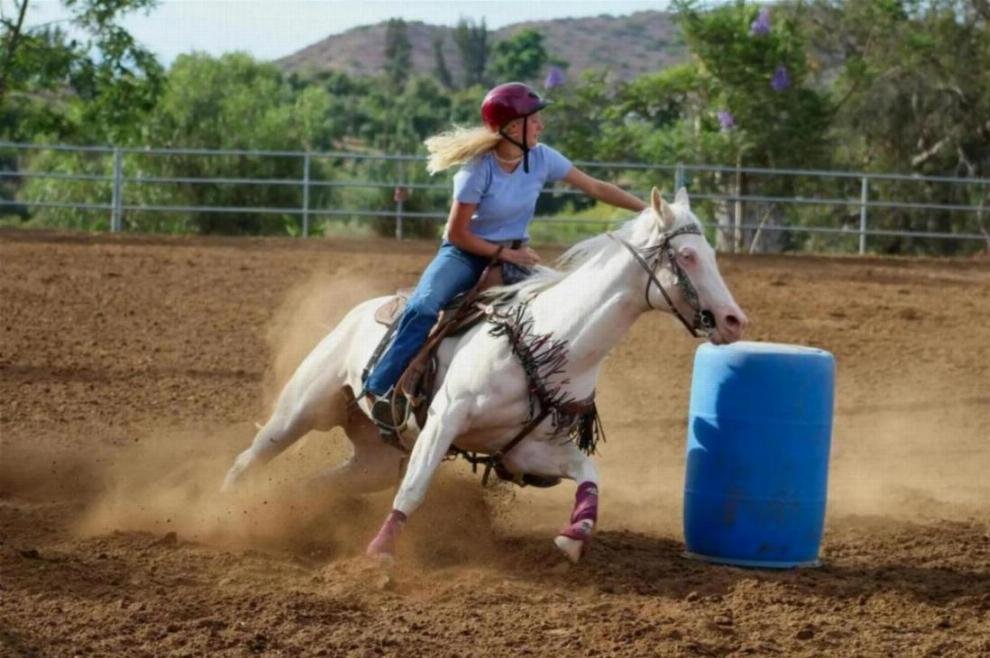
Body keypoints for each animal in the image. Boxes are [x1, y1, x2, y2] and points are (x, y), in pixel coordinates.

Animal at [221, 187, 748, 563]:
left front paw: (574, 535)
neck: (555, 338)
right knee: (251, 456)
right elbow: (415, 487)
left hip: (375, 456)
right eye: (688, 256)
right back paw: (221, 505)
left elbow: (589, 473)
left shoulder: (526, 449)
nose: (733, 320)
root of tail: (361, 310)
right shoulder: (444, 420)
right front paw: (381, 552)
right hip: (303, 410)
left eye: (712, 254)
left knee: (322, 482)